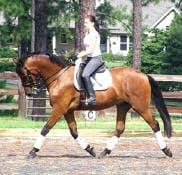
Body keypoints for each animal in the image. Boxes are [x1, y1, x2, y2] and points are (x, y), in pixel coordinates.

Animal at [13, 52, 173, 158]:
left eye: (23, 74)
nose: (29, 93)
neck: (59, 76)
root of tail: (143, 74)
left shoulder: (59, 109)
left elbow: (46, 128)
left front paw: (33, 151)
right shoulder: (67, 110)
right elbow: (74, 132)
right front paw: (90, 149)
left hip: (140, 106)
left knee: (155, 124)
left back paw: (167, 150)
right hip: (123, 106)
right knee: (120, 129)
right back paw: (104, 152)